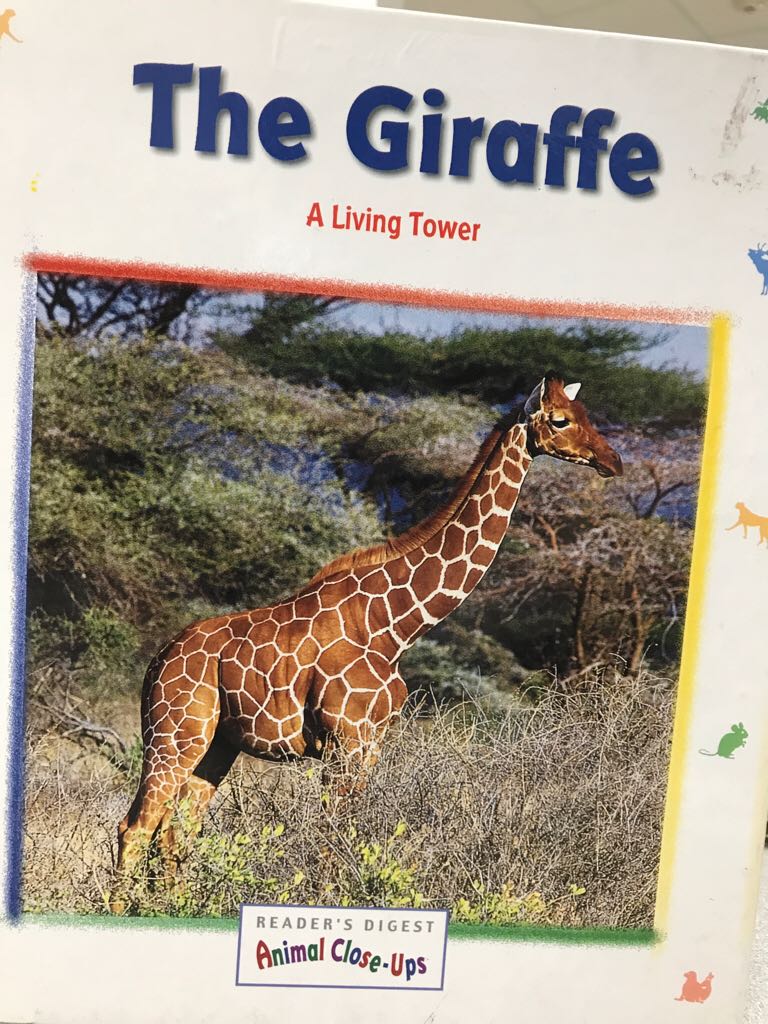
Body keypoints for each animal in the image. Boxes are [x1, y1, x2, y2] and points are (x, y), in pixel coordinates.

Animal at [110, 372, 622, 911]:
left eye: (586, 414)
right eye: (560, 420)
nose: (614, 461)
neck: (395, 625)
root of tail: (156, 662)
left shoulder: (371, 745)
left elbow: (348, 839)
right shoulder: (345, 741)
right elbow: (330, 841)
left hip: (216, 746)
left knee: (176, 833)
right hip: (174, 736)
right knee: (135, 827)